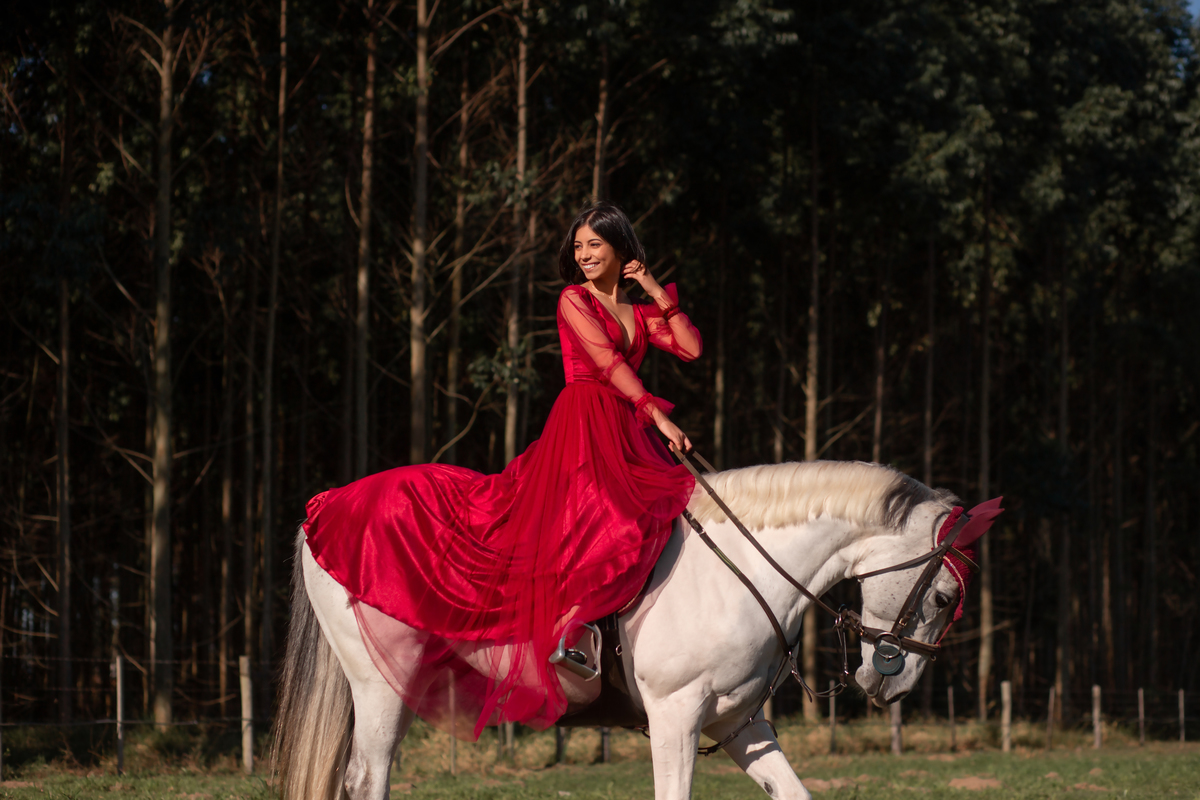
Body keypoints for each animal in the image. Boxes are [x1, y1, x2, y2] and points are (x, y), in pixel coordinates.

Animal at [272, 459, 1000, 800]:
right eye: (942, 596)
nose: (891, 684)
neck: (737, 572)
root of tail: (326, 506)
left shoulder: (737, 722)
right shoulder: (676, 717)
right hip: (379, 687)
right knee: (368, 780)